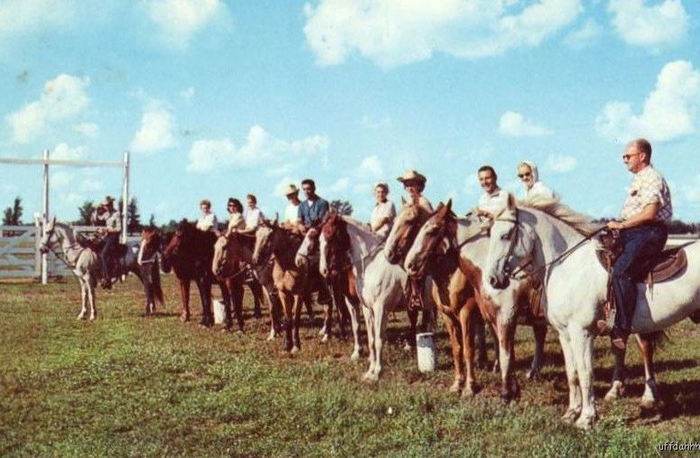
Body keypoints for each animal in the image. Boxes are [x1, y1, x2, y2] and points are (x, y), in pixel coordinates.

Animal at [482, 194, 700, 430]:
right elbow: (572, 373)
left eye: (505, 235)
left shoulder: (583, 333)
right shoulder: (564, 334)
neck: (568, 266)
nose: (493, 279)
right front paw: (571, 413)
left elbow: (586, 373)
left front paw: (587, 418)